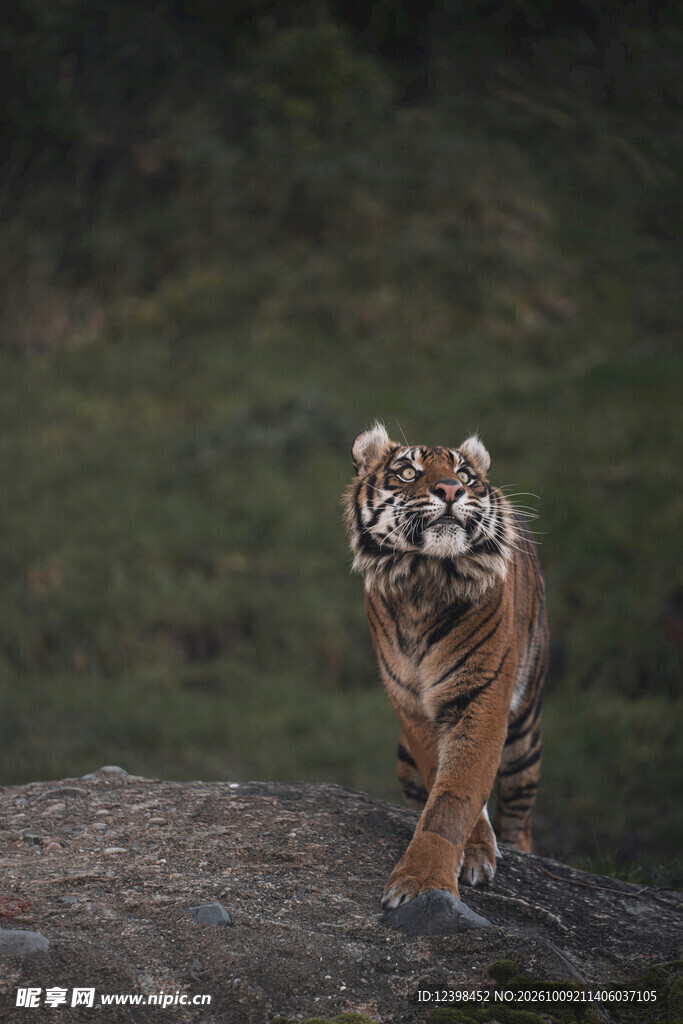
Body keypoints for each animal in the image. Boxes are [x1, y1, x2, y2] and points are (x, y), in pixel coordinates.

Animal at [344, 423, 548, 914]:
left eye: (465, 475)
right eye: (407, 471)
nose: (452, 489)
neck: (425, 579)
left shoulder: (480, 700)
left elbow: (454, 799)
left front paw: (424, 885)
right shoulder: (414, 709)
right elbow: (446, 784)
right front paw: (467, 854)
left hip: (524, 732)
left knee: (519, 812)